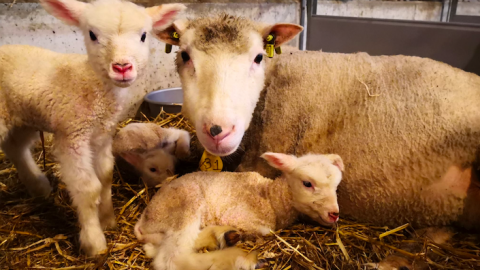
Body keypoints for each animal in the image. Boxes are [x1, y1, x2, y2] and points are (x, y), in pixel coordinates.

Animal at [0, 0, 186, 255]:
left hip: (24, 115)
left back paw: (38, 187)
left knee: (15, 147)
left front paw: (107, 220)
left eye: (143, 36)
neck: (93, 86)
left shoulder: (101, 134)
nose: (122, 67)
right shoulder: (72, 135)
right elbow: (88, 188)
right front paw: (95, 241)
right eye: (92, 35)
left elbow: (106, 176)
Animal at [135, 152, 344, 270]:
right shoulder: (240, 217)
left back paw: (222, 237)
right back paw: (235, 258)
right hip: (186, 205)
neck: (270, 197)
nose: (334, 214)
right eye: (307, 183)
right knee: (170, 259)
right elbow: (264, 231)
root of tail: (144, 219)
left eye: (336, 185)